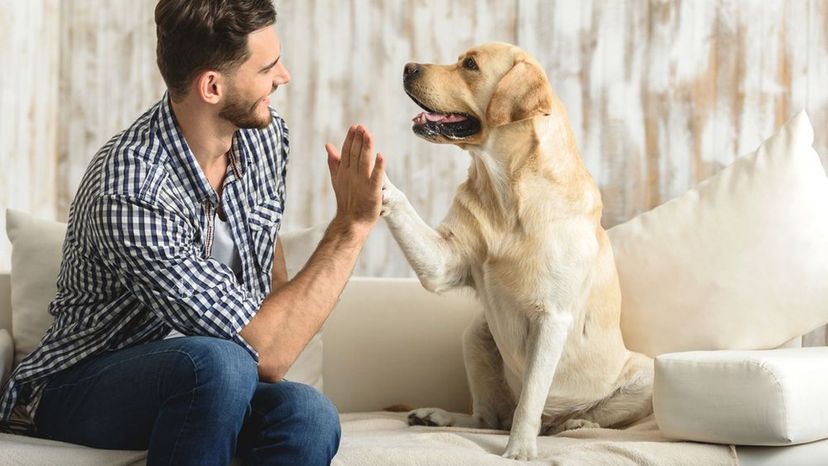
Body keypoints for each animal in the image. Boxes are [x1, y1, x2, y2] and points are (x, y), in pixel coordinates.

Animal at [380, 42, 652, 458]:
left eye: (470, 65)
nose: (408, 67)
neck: (506, 190)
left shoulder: (552, 318)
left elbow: (530, 399)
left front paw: (520, 449)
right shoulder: (443, 263)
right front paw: (371, 175)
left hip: (645, 374)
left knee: (572, 418)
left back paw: (574, 423)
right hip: (476, 335)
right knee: (487, 418)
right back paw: (437, 416)